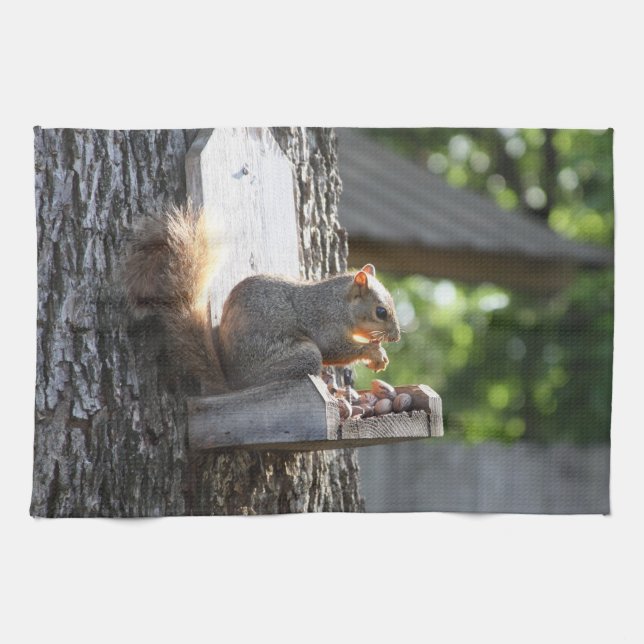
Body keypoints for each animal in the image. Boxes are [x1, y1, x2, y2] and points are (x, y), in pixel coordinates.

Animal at [124, 203, 401, 393]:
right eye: (381, 311)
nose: (396, 337)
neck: (341, 303)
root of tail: (234, 384)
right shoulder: (324, 320)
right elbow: (335, 347)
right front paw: (373, 351)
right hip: (294, 358)